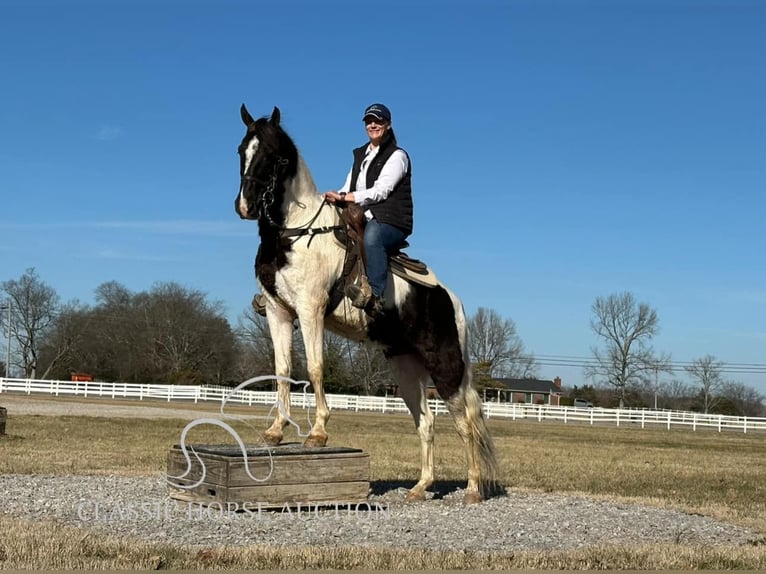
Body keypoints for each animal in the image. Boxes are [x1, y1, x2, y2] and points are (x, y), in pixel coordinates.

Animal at [234, 104, 498, 504]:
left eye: (274, 156)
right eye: (241, 150)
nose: (246, 206)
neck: (295, 233)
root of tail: (451, 299)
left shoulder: (309, 311)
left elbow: (314, 368)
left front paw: (318, 433)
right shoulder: (279, 312)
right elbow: (282, 370)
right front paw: (276, 432)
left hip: (447, 367)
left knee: (465, 422)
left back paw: (471, 489)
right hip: (406, 369)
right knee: (426, 423)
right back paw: (420, 487)